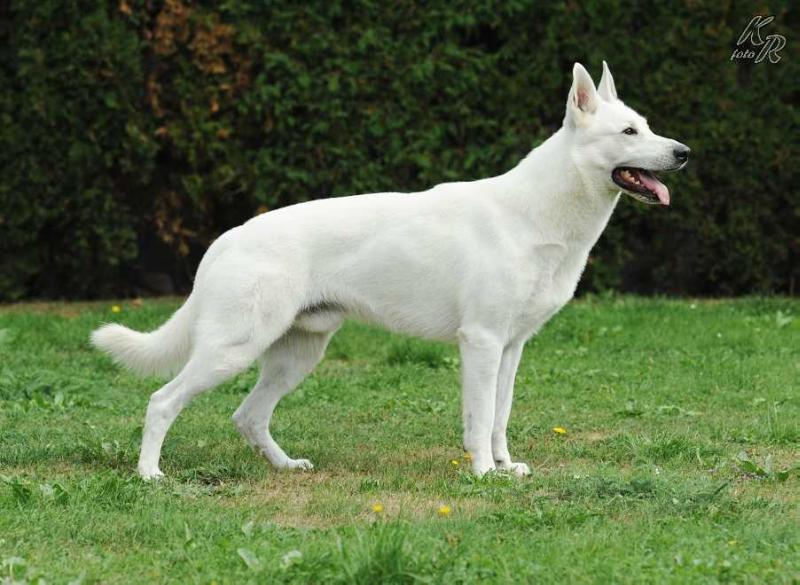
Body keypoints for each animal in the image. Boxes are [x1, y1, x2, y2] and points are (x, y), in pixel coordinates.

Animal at [92, 61, 688, 480]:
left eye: (648, 127)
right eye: (629, 132)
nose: (684, 152)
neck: (535, 213)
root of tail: (225, 240)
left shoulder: (512, 348)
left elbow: (499, 416)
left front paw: (505, 467)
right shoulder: (481, 343)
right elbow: (478, 419)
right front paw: (482, 474)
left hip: (295, 357)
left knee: (248, 416)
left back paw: (286, 468)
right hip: (229, 351)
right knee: (162, 402)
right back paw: (150, 474)